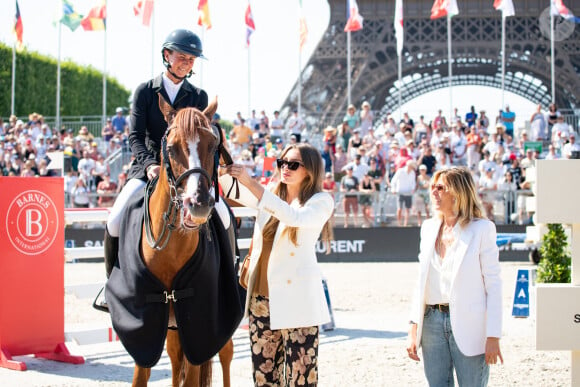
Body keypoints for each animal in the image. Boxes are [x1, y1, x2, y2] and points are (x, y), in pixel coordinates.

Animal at [106, 98, 238, 387]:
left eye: (213, 145)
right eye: (172, 148)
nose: (198, 205)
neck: (170, 249)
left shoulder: (201, 324)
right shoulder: (144, 325)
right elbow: (142, 374)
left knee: (225, 354)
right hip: (173, 326)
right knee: (176, 357)